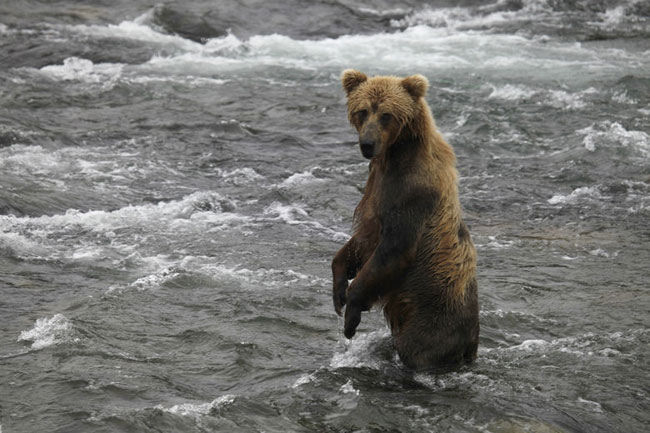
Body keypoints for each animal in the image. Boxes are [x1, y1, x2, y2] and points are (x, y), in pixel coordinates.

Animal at [332, 69, 478, 370]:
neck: (395, 154)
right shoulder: (375, 190)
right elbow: (360, 242)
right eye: (363, 111)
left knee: (417, 350)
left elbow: (393, 249)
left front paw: (351, 314)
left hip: (431, 317)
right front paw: (338, 291)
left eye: (386, 114)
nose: (367, 144)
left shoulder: (411, 194)